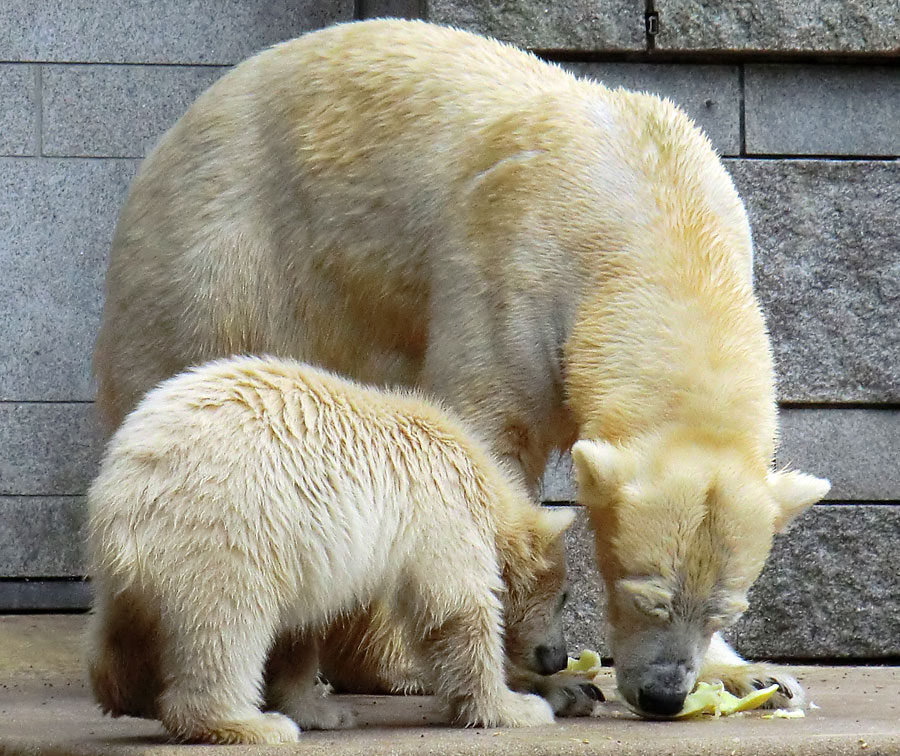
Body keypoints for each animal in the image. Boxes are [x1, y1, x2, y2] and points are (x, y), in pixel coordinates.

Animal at [86, 356, 576, 744]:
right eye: (566, 597)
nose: (557, 658)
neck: (481, 479)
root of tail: (131, 475)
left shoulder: (306, 547)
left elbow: (297, 630)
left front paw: (322, 711)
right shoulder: (442, 509)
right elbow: (457, 607)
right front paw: (519, 707)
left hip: (143, 552)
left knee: (126, 624)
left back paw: (133, 692)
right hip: (227, 524)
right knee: (227, 621)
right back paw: (247, 723)